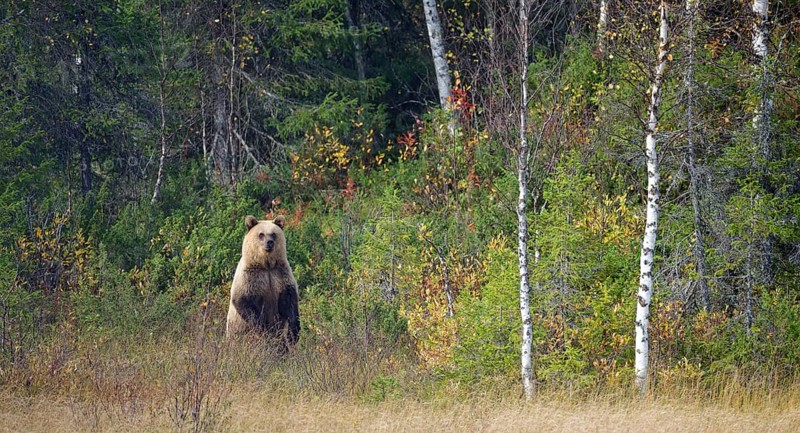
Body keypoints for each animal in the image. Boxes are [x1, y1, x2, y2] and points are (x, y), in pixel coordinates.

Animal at [226, 214, 300, 346]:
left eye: (274, 234)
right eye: (261, 234)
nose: (269, 242)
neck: (266, 265)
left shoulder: (280, 275)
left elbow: (290, 302)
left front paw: (293, 334)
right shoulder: (250, 277)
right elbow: (244, 301)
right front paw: (264, 330)